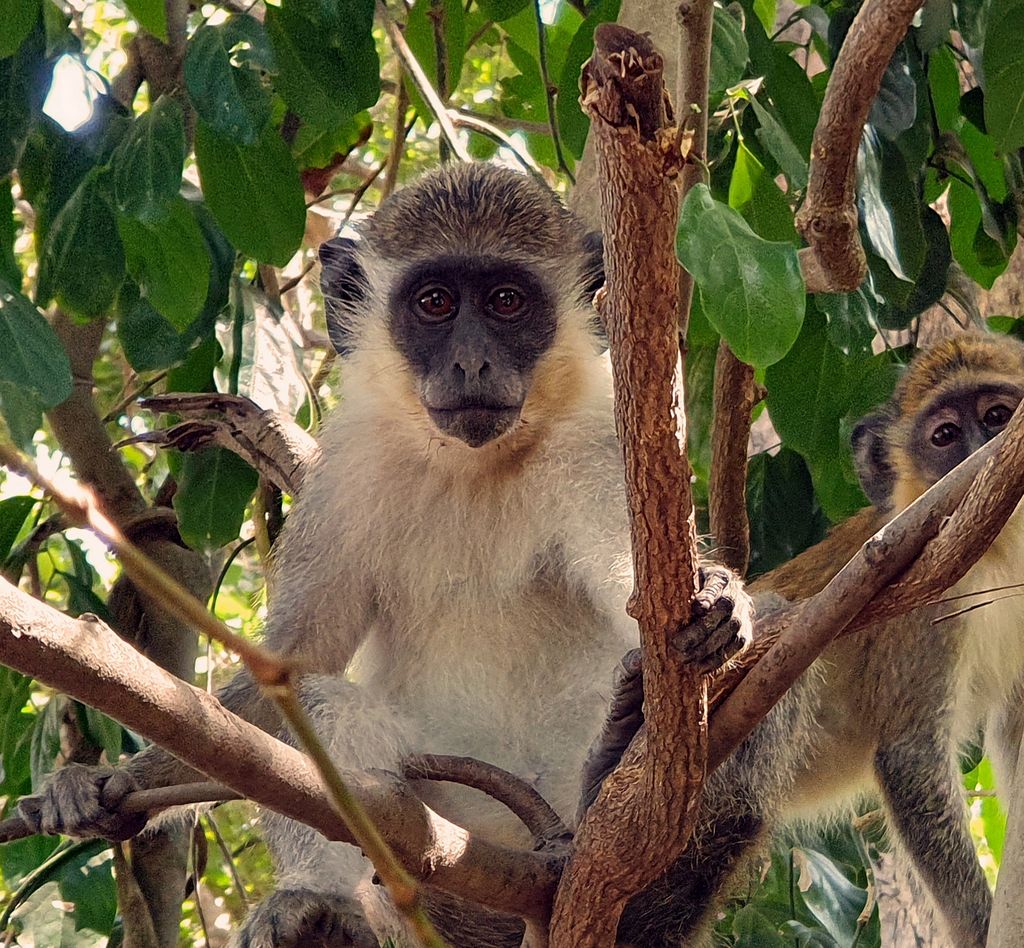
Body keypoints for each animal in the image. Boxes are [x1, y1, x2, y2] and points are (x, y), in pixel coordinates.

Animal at [14, 166, 753, 945]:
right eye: (434, 304)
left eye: (507, 302)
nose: (471, 361)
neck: (471, 465)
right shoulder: (346, 478)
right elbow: (291, 670)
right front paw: (103, 785)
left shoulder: (600, 446)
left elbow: (634, 587)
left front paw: (717, 597)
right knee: (327, 714)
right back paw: (318, 907)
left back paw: (612, 763)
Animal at [598, 333, 1024, 948]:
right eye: (945, 436)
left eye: (997, 416)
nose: (979, 454)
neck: (1001, 554)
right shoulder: (924, 593)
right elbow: (909, 756)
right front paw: (982, 926)